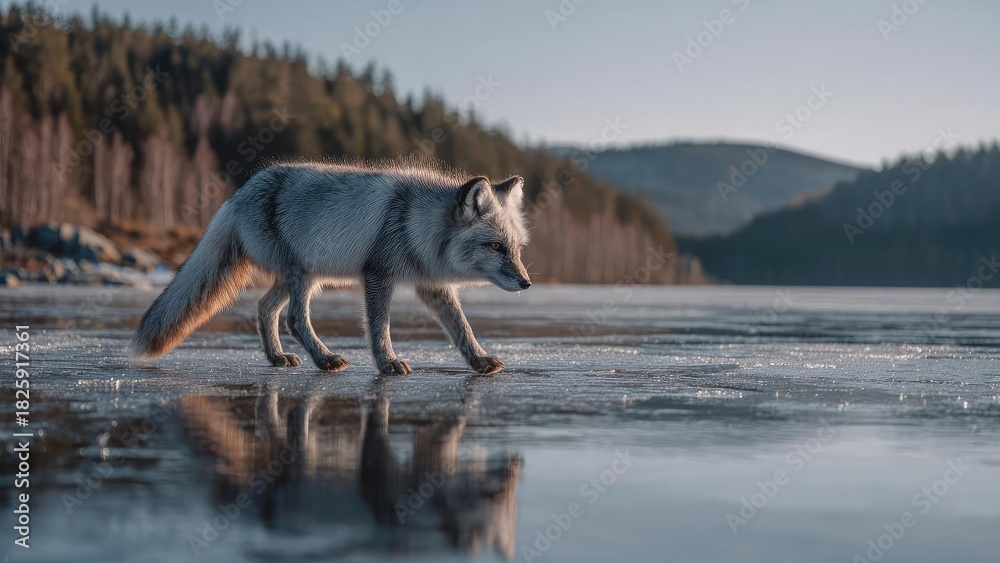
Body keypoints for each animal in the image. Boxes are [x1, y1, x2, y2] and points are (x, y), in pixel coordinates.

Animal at [128, 162, 531, 375]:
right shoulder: (377, 275)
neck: (414, 223)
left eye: (516, 249)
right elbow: (379, 327)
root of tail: (241, 191)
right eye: (495, 247)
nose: (526, 283)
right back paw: (323, 358)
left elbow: (461, 327)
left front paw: (478, 360)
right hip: (303, 277)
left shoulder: (432, 286)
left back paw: (277, 357)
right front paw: (387, 363)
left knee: (265, 308)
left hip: (304, 277)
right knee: (294, 318)